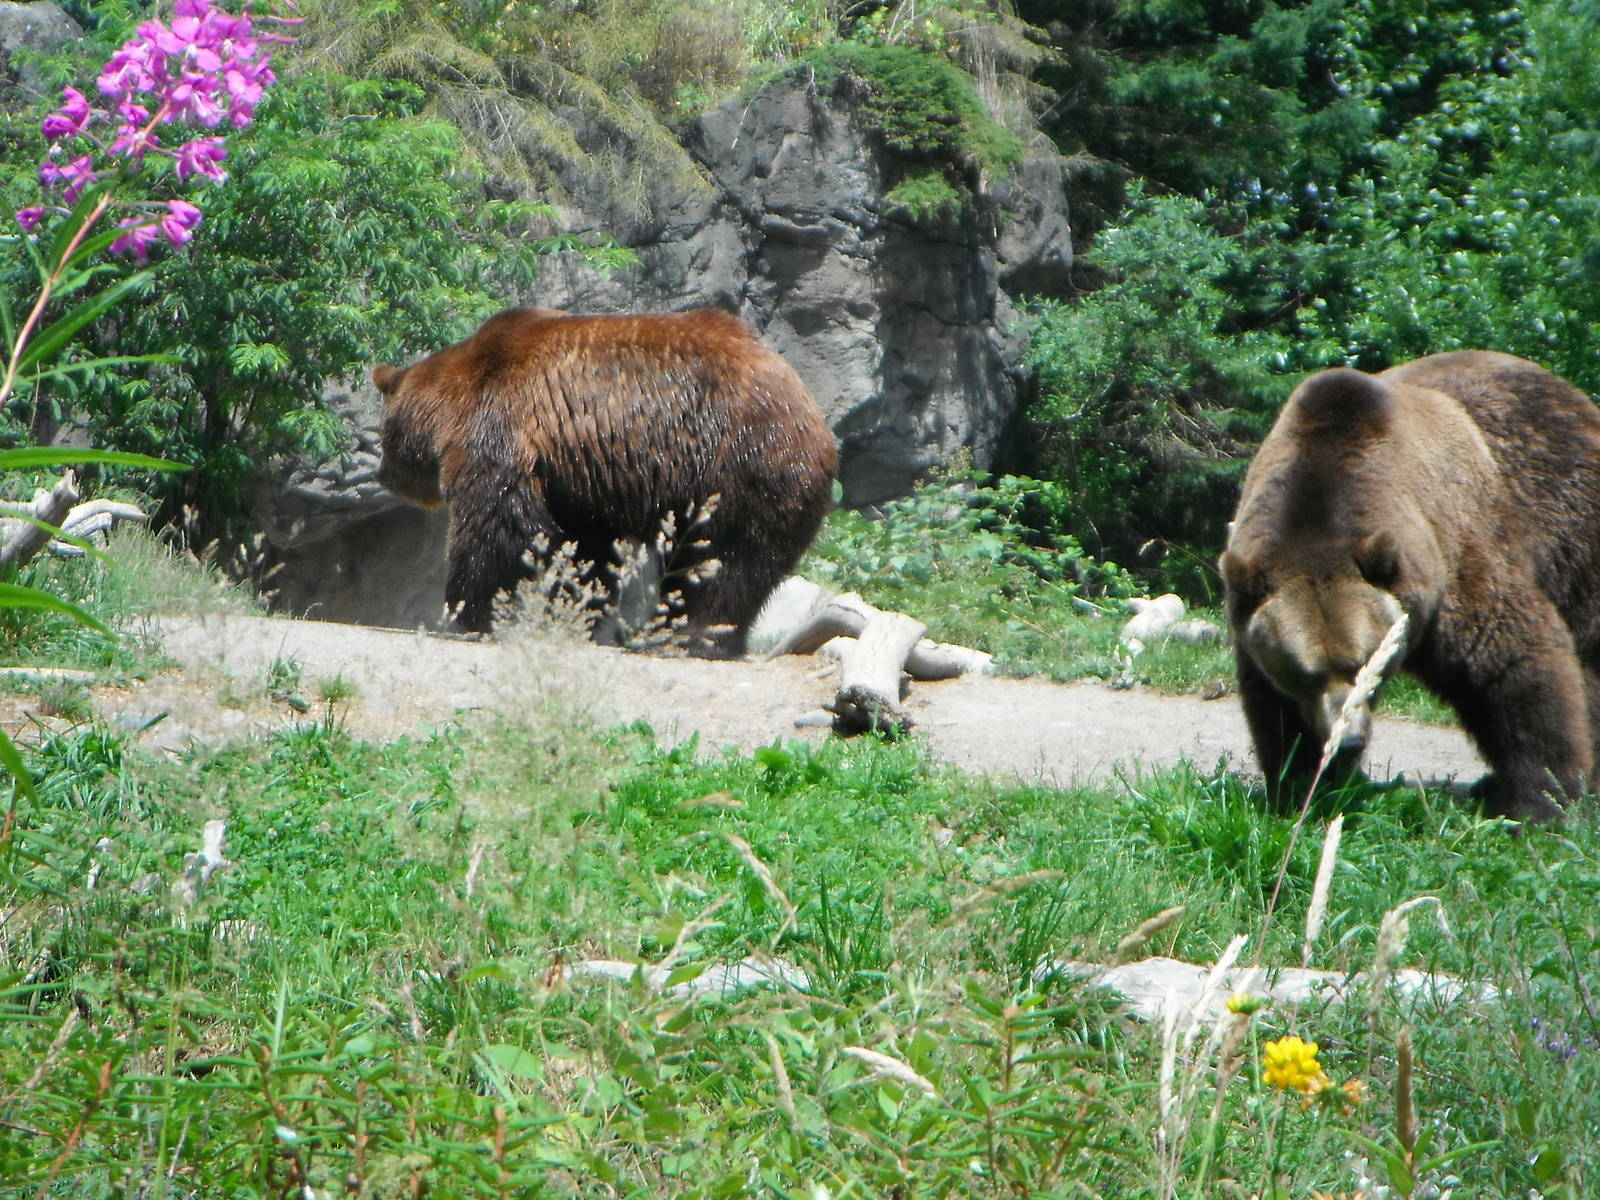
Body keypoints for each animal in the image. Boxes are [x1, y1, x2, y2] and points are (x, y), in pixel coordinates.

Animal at [371, 306, 838, 658]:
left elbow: (494, 526)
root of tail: (816, 416)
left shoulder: (503, 427)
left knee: (721, 559)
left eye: (382, 436)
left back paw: (687, 636)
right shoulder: (579, 479)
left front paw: (463, 612)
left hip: (741, 463)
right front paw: (580, 612)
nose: (382, 474)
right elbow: (584, 548)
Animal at [1220, 350, 1600, 822]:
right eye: (1306, 673)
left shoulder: (1454, 553)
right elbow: (1276, 711)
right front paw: (1304, 790)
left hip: (1571, 523)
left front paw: (1543, 804)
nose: (1349, 741)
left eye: (1362, 662)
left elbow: (1514, 665)